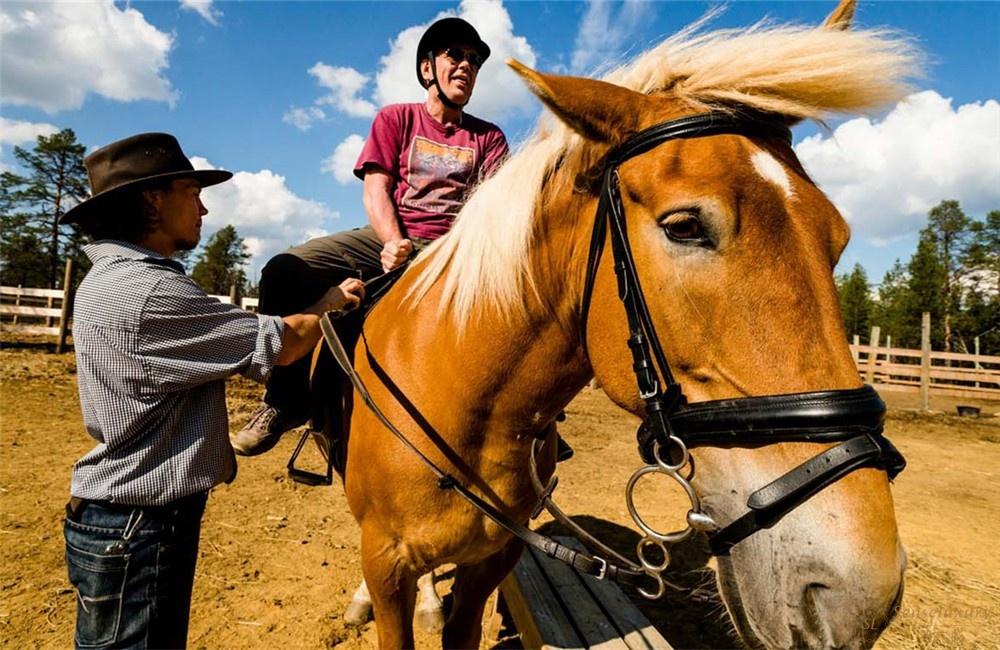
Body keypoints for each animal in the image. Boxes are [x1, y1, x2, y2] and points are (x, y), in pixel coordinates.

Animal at [340, 2, 916, 644]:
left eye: (838, 237)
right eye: (685, 226)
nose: (861, 598)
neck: (462, 407)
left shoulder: (492, 562)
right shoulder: (387, 563)